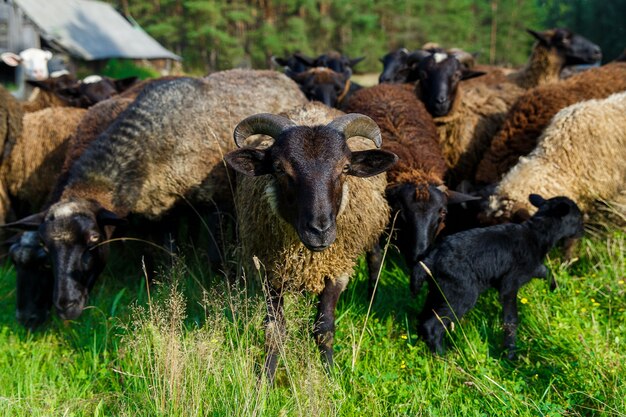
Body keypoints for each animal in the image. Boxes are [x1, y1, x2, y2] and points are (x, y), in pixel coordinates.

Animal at [4, 70, 308, 320]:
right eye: (46, 247)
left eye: (93, 240)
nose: (65, 307)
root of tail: (282, 77)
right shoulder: (162, 211)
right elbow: (167, 258)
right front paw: (167, 289)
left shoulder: (217, 201)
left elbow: (217, 260)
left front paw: (228, 288)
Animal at [225, 105, 394, 380]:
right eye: (279, 168)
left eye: (345, 168)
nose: (319, 231)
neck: (307, 255)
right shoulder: (271, 270)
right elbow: (275, 330)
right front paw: (265, 379)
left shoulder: (336, 269)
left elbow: (323, 327)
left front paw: (330, 375)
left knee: (375, 254)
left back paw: (373, 296)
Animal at [412, 193, 584, 358]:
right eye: (577, 217)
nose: (582, 231)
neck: (537, 234)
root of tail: (430, 259)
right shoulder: (510, 284)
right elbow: (511, 319)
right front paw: (510, 352)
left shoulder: (526, 270)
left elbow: (545, 271)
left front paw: (556, 288)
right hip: (461, 293)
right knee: (433, 326)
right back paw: (443, 356)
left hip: (438, 291)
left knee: (422, 318)